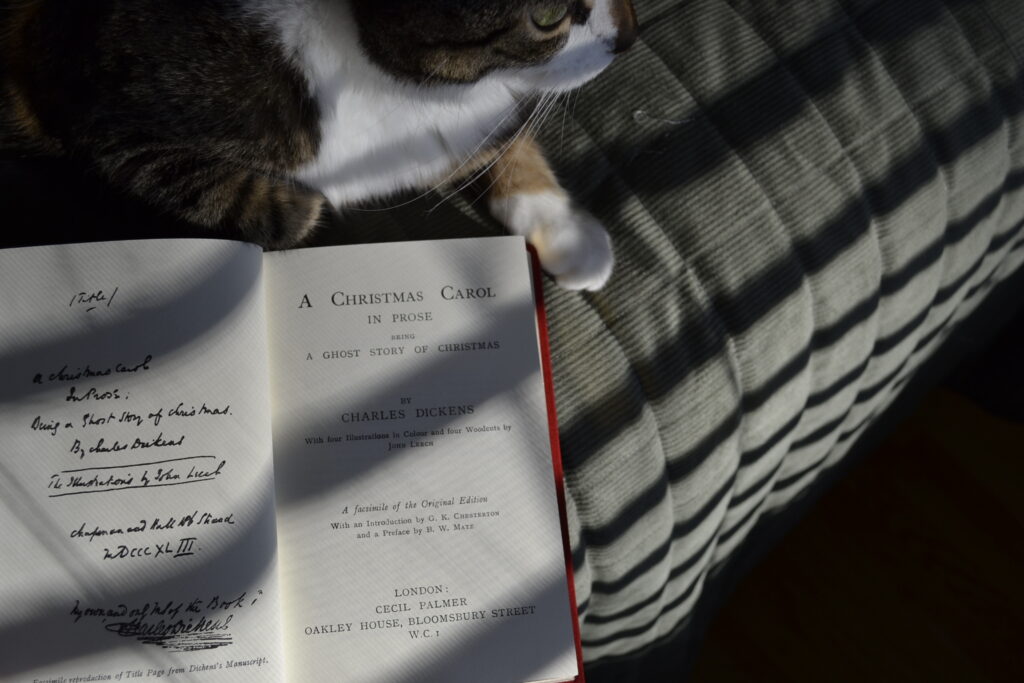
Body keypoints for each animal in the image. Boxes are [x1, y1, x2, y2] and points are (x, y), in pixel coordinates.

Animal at [4, 0, 634, 288]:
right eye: (547, 17)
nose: (630, 37)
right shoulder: (98, 107)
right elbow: (252, 202)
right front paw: (305, 204)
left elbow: (498, 134)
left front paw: (564, 229)